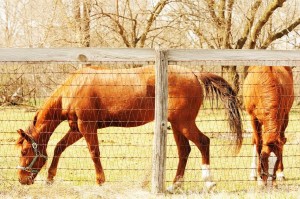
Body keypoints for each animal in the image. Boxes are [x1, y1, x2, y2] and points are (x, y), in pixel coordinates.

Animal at [15, 64, 243, 190]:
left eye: (25, 151)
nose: (22, 179)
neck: (73, 88)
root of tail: (195, 74)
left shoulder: (87, 126)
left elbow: (94, 153)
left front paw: (100, 181)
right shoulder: (76, 128)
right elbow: (59, 148)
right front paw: (50, 178)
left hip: (184, 123)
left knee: (203, 142)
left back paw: (208, 182)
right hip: (177, 124)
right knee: (184, 150)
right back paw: (175, 185)